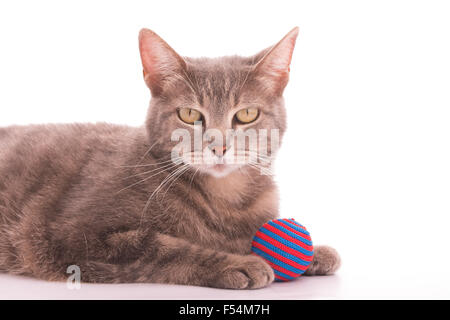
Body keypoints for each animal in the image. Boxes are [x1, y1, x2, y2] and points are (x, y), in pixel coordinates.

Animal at [0, 26, 340, 288]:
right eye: (189, 114)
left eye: (247, 114)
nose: (219, 146)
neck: (225, 199)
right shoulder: (72, 236)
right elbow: (163, 248)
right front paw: (237, 263)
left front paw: (314, 252)